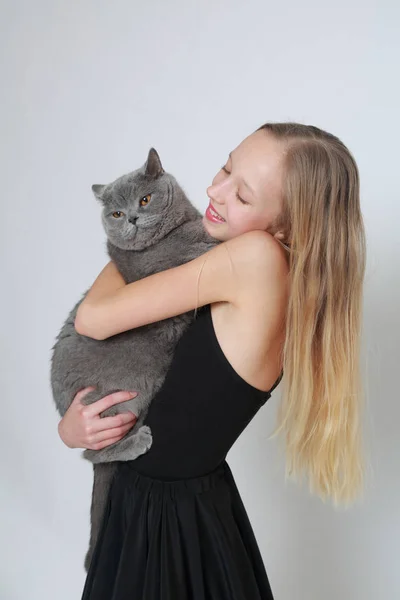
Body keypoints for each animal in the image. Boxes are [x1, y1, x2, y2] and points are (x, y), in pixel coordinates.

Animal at [50, 146, 219, 572]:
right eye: (115, 213)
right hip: (123, 399)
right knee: (90, 452)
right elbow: (194, 245)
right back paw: (135, 441)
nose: (131, 218)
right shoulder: (160, 266)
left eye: (144, 199)